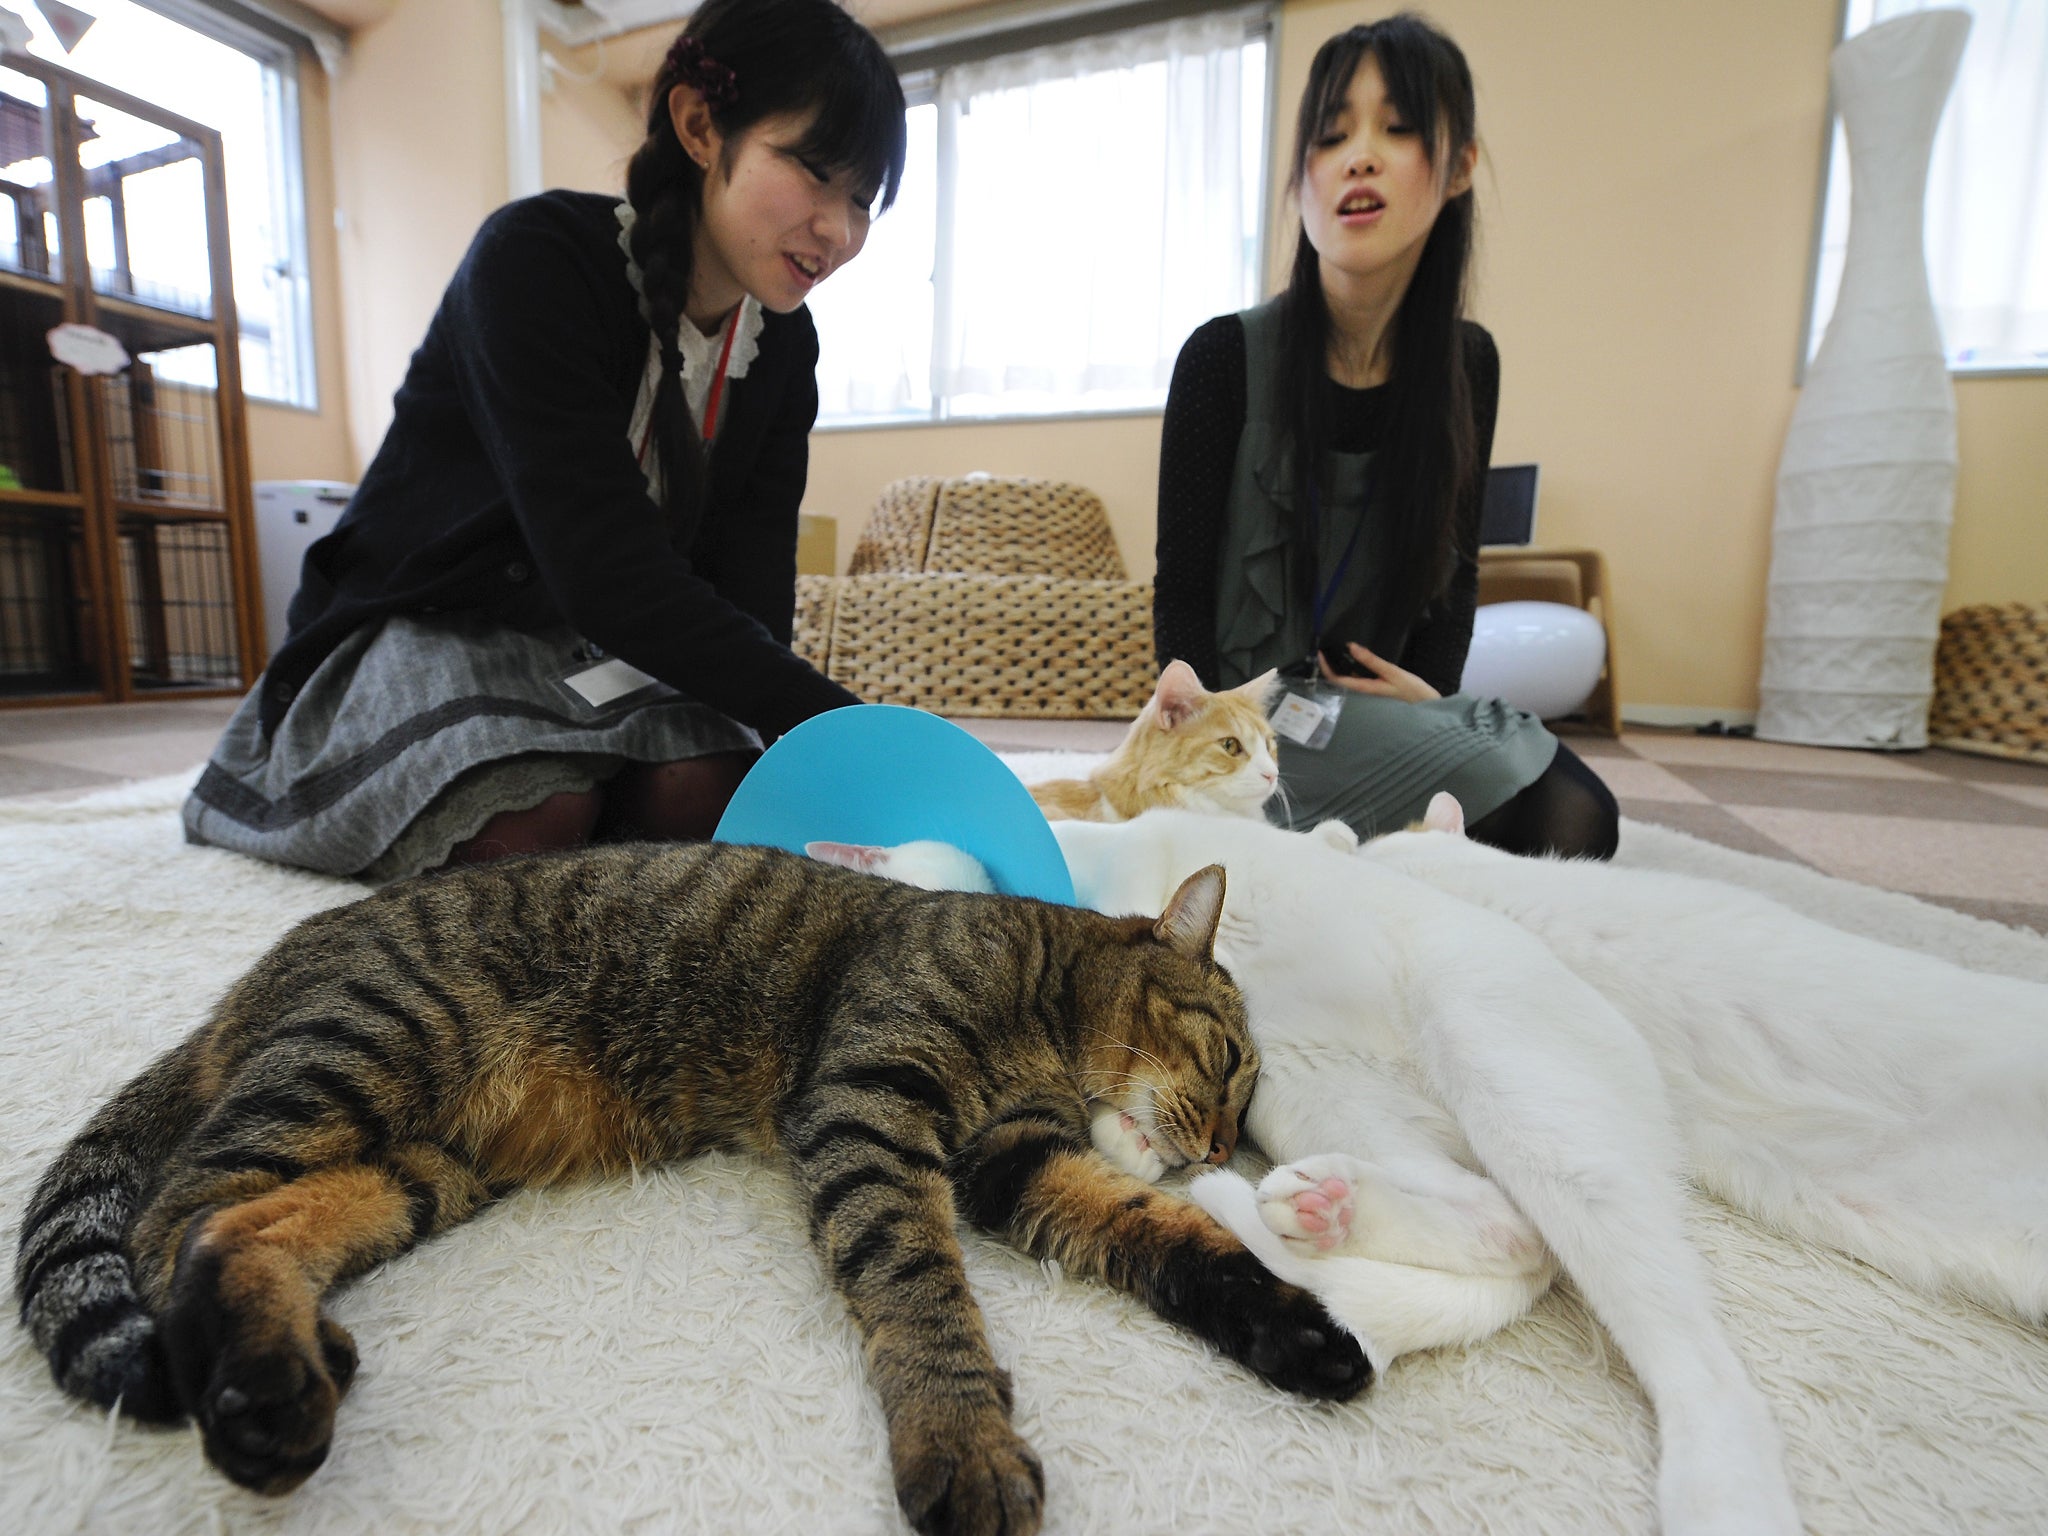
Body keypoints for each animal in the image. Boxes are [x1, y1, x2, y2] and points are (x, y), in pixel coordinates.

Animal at [16, 847, 1368, 1531]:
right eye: (1227, 1064)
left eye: (1244, 1105)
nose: (1218, 1151)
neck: (1040, 1005)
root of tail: (246, 988)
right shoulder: (869, 1108)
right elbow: (918, 1286)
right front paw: (963, 1435)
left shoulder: (1013, 1162)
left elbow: (1165, 1239)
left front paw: (1293, 1328)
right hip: (374, 1043)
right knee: (172, 1211)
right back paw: (243, 1384)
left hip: (424, 1165)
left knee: (238, 1221)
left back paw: (293, 1365)